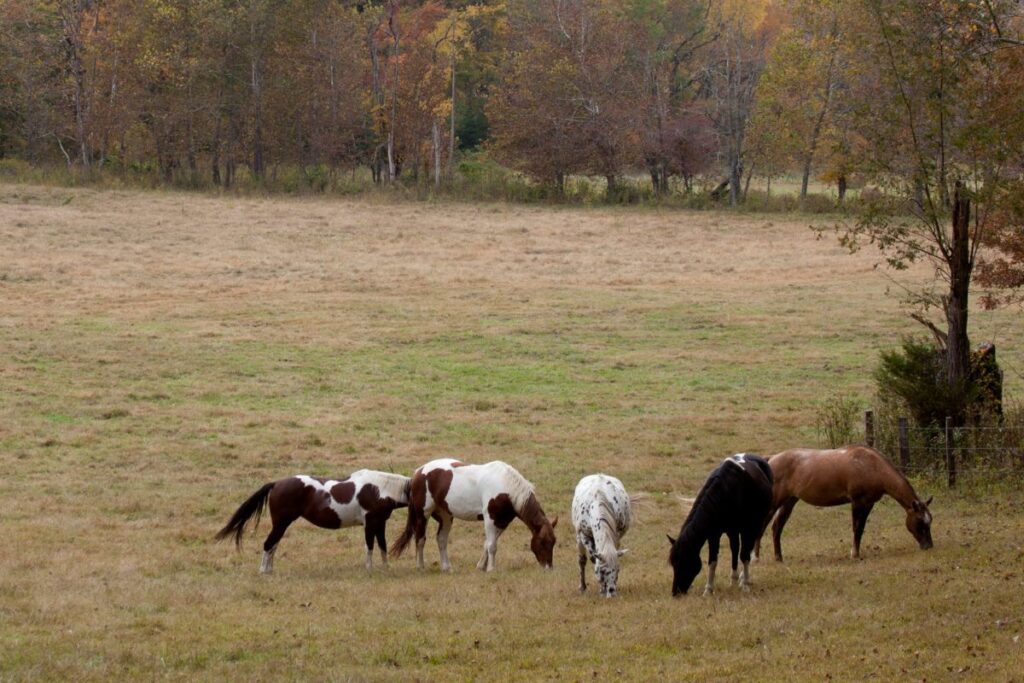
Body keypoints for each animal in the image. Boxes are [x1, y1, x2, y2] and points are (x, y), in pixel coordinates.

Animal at [216, 471, 407, 573]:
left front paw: (386, 567)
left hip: (281, 525)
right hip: (281, 523)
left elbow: (382, 545)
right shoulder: (370, 523)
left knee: (273, 545)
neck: (379, 489)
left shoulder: (380, 523)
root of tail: (276, 484)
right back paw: (264, 571)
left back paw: (269, 570)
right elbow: (370, 546)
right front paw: (369, 568)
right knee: (268, 544)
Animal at [387, 458, 561, 573]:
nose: (549, 568)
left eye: (553, 542)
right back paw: (420, 566)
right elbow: (492, 546)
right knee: (420, 539)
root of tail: (418, 472)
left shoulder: (501, 522)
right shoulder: (490, 519)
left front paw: (481, 566)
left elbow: (488, 544)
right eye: (542, 542)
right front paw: (491, 569)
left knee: (441, 540)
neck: (506, 487)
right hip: (423, 514)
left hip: (446, 516)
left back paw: (446, 567)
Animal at [667, 454, 770, 598]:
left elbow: (744, 556)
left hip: (755, 525)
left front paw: (745, 585)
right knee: (735, 548)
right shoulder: (713, 534)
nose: (675, 592)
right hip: (733, 530)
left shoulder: (746, 529)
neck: (727, 491)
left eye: (685, 561)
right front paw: (708, 590)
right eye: (673, 563)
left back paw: (744, 579)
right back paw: (733, 579)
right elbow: (713, 561)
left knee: (747, 549)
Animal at [753, 446, 937, 565]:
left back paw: (779, 558)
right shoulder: (857, 502)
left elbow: (861, 529)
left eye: (930, 521)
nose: (928, 546)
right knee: (762, 526)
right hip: (775, 503)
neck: (871, 465)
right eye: (920, 522)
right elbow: (857, 528)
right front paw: (854, 554)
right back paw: (755, 558)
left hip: (789, 502)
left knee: (777, 527)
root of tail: (770, 460)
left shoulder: (868, 504)